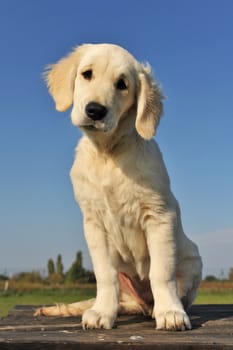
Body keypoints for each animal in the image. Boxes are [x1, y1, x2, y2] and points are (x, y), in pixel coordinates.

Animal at [35, 43, 203, 330]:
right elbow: (105, 275)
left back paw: (158, 309)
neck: (107, 153)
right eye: (87, 74)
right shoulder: (94, 223)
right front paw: (102, 312)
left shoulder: (159, 215)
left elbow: (161, 273)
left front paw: (171, 313)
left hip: (193, 259)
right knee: (118, 299)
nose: (95, 110)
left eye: (122, 84)